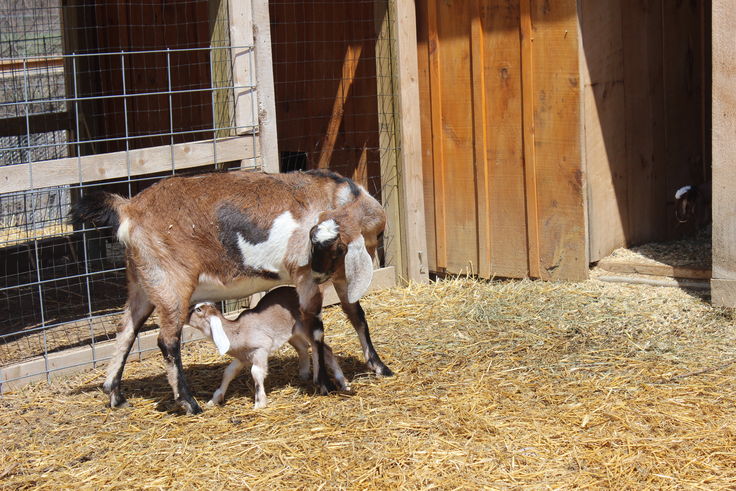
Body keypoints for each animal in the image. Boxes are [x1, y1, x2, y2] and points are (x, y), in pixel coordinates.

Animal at [190, 286, 350, 410]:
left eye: (198, 309)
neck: (237, 331)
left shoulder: (260, 349)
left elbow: (256, 373)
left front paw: (259, 403)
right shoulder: (242, 357)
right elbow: (228, 372)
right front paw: (214, 400)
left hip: (307, 327)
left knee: (325, 349)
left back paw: (342, 382)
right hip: (292, 333)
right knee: (303, 348)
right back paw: (304, 374)